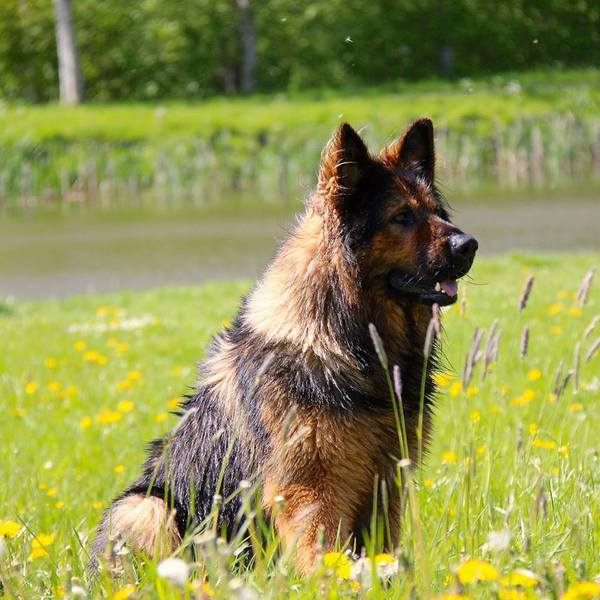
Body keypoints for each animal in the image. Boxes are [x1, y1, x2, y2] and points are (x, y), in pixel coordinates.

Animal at [92, 119, 478, 575]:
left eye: (437, 213)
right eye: (402, 216)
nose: (470, 245)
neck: (350, 341)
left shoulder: (386, 477)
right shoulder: (311, 487)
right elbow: (322, 553)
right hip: (145, 506)